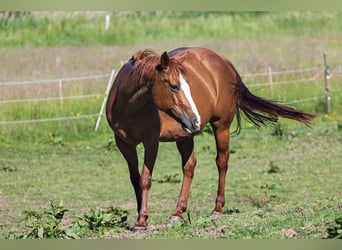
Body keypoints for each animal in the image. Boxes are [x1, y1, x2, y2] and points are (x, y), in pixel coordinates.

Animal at [105, 47, 316, 230]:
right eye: (174, 86)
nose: (195, 120)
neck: (130, 106)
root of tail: (225, 62)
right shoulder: (123, 144)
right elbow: (135, 179)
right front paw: (140, 216)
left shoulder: (151, 141)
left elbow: (146, 179)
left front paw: (142, 221)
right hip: (184, 135)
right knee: (189, 167)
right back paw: (177, 213)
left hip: (221, 126)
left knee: (221, 162)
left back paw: (217, 209)